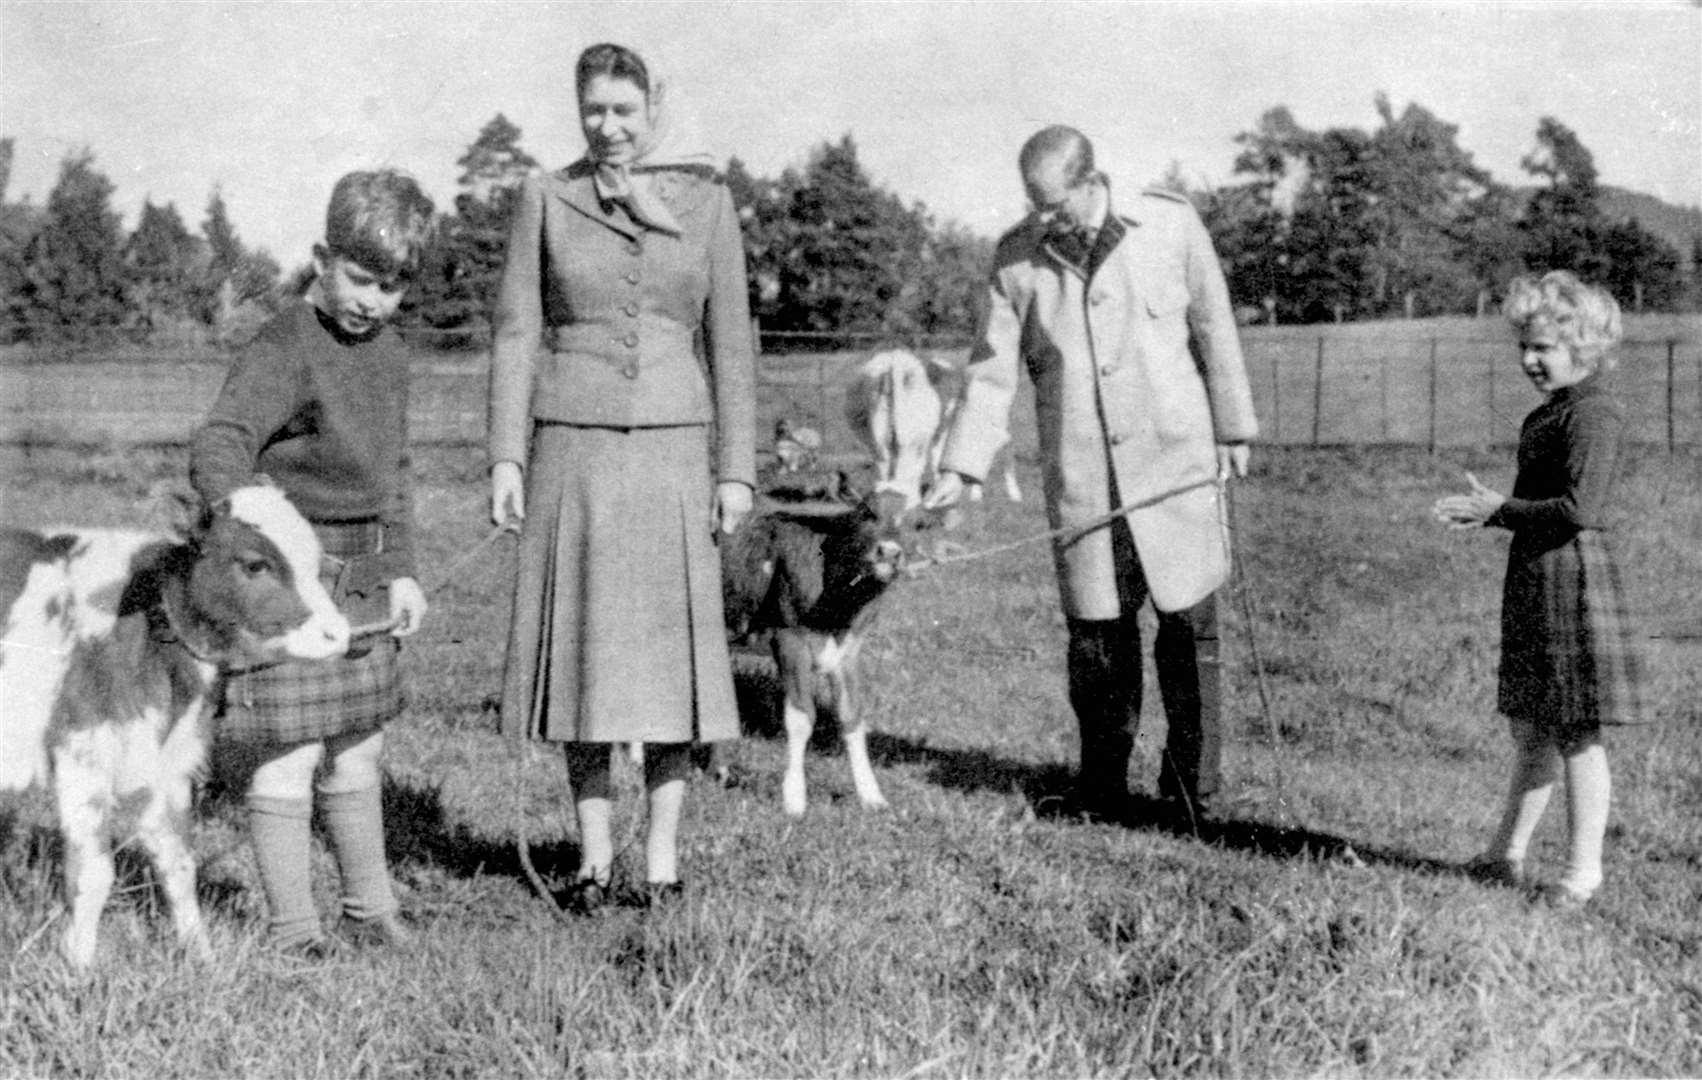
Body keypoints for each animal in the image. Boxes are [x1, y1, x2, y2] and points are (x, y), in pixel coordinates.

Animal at [0, 486, 348, 966]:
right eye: (255, 564)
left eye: (315, 559)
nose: (340, 634)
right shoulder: (82, 752)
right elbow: (92, 873)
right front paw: (80, 965)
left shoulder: (166, 762)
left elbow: (179, 862)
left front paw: (201, 955)